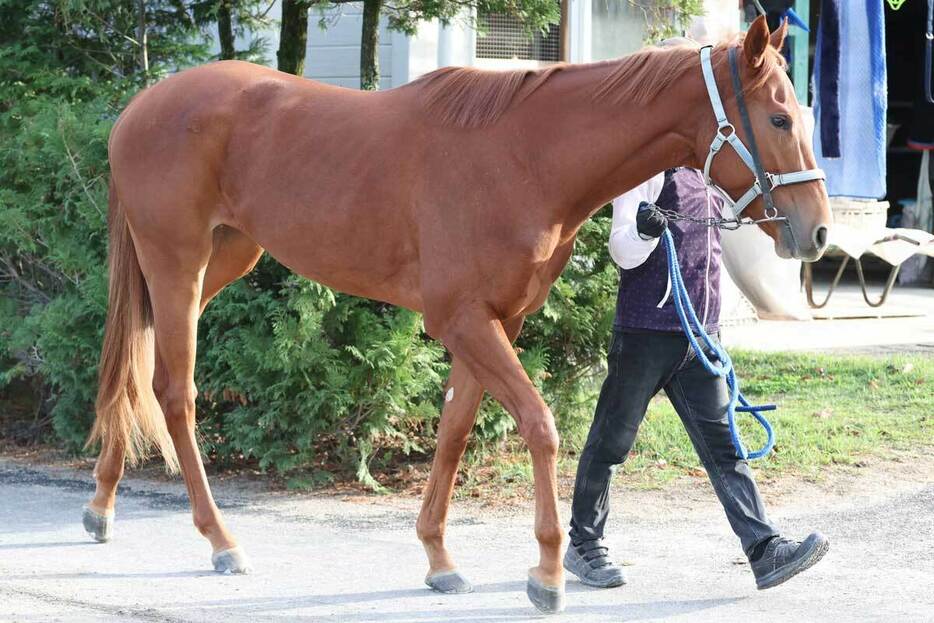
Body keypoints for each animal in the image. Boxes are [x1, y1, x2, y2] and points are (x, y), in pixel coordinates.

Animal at [84, 18, 828, 616]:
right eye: (779, 120)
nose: (817, 233)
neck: (522, 157)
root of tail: (137, 109)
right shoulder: (464, 320)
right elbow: (540, 425)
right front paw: (547, 573)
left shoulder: (496, 321)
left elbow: (453, 430)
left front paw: (439, 559)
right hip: (177, 264)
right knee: (174, 391)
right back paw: (220, 540)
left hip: (218, 263)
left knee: (136, 363)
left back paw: (101, 506)